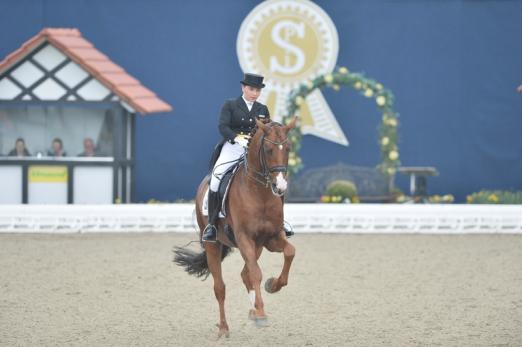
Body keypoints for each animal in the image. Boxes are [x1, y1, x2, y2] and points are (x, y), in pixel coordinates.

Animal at [174, 118, 294, 338]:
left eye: (288, 148)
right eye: (268, 149)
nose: (280, 186)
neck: (261, 193)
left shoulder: (271, 238)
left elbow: (289, 252)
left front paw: (273, 286)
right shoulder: (244, 237)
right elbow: (255, 273)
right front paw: (262, 312)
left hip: (257, 246)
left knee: (244, 274)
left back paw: (253, 312)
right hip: (213, 245)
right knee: (220, 287)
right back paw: (224, 328)